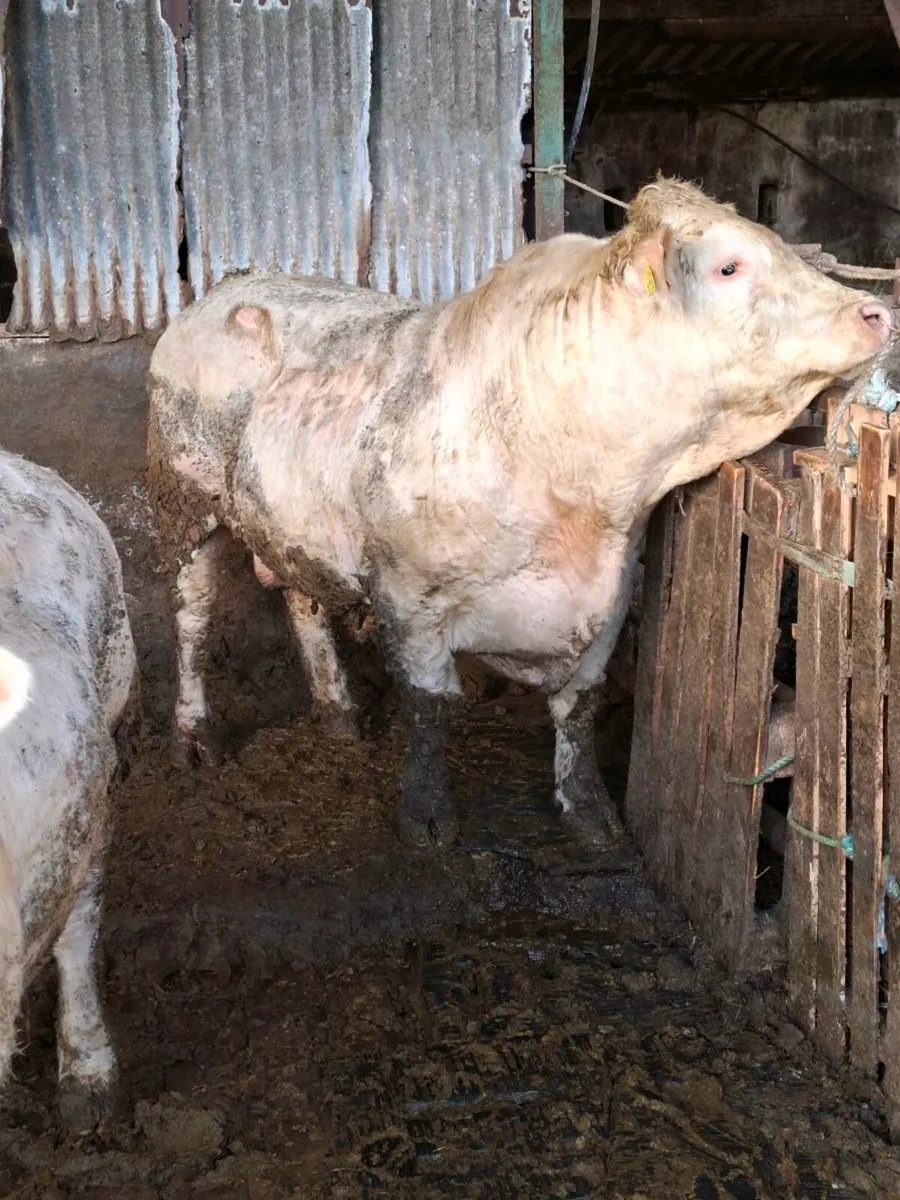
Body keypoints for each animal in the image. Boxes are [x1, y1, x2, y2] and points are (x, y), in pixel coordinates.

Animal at [147, 177, 892, 852]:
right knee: (191, 614)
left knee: (302, 600)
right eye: (729, 266)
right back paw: (194, 733)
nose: (877, 311)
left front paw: (588, 810)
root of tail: (230, 286)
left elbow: (579, 708)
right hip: (182, 503)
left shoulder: (612, 593)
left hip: (292, 516)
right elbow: (429, 707)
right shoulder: (408, 596)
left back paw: (339, 712)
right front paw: (426, 816)